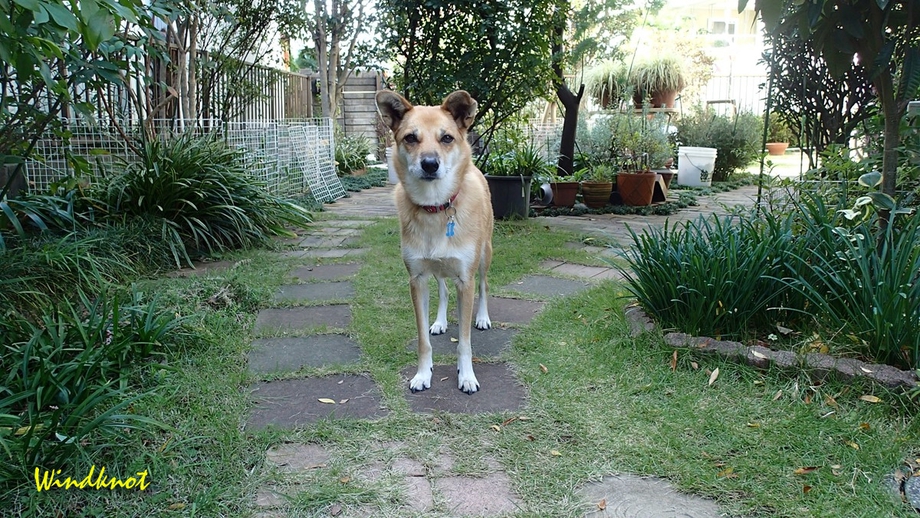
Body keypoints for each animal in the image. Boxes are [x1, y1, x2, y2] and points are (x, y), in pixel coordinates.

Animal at [374, 91, 492, 396]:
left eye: (446, 138)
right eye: (410, 138)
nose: (429, 164)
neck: (436, 207)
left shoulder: (465, 279)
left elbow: (464, 341)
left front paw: (466, 376)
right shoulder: (417, 279)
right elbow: (422, 341)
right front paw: (422, 374)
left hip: (484, 255)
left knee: (484, 286)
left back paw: (483, 318)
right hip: (434, 268)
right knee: (443, 289)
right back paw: (439, 322)